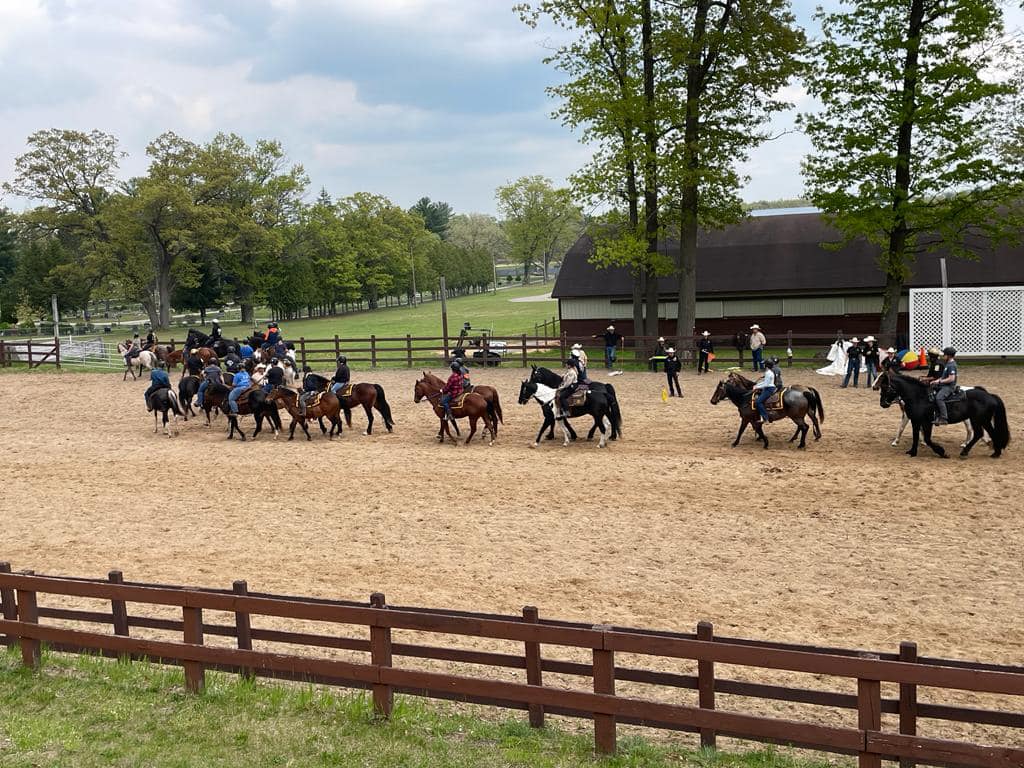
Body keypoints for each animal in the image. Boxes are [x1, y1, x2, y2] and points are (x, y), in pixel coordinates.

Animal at [876, 366, 1011, 456]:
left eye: (886, 387)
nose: (882, 404)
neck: (919, 396)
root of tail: (990, 395)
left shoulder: (926, 422)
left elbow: (927, 439)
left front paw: (941, 451)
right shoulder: (915, 421)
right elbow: (915, 436)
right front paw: (912, 451)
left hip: (977, 420)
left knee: (979, 433)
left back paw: (969, 450)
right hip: (982, 420)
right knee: (984, 433)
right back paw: (992, 451)